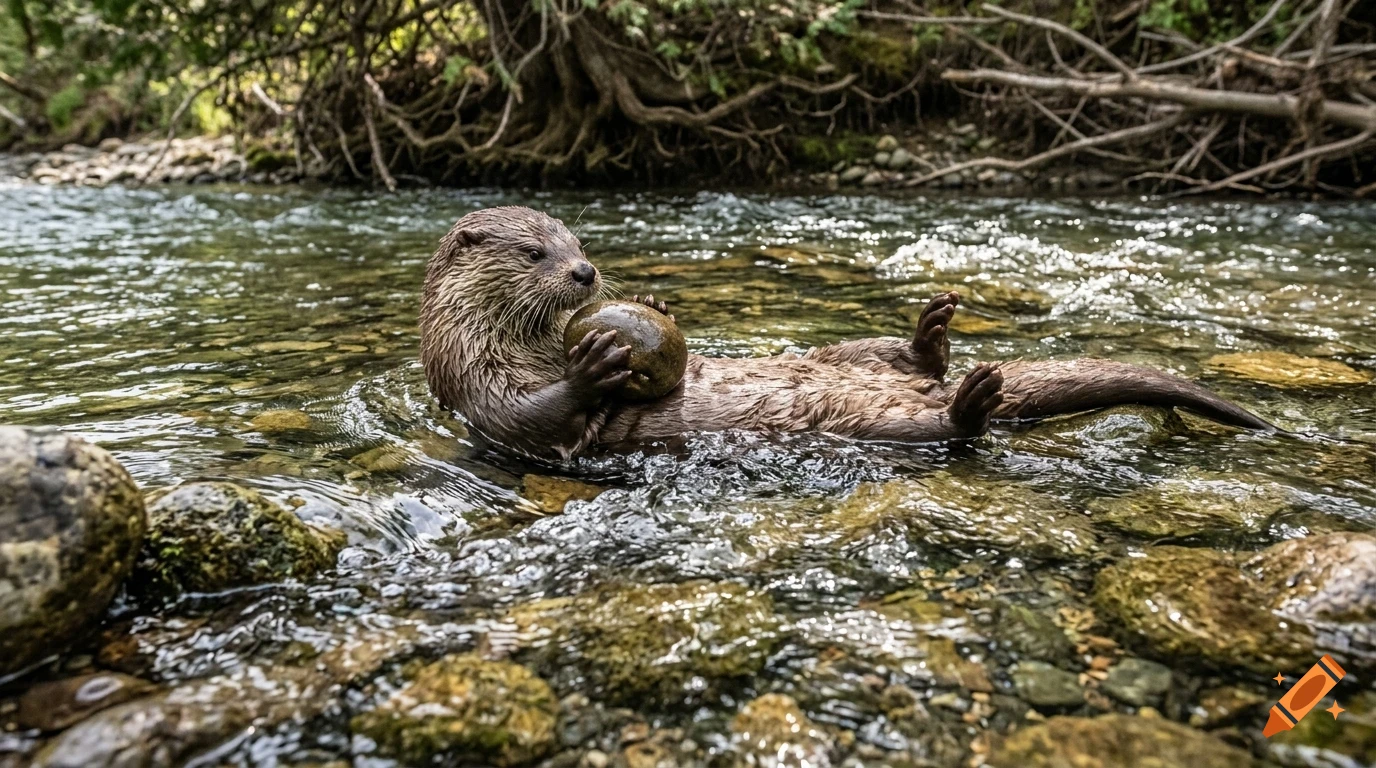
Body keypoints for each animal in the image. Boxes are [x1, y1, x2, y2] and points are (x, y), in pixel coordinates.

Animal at [420, 206, 1275, 460]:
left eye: (579, 241)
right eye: (536, 253)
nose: (587, 274)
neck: (520, 347)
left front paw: (653, 297)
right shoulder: (475, 388)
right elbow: (535, 420)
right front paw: (594, 363)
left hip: (848, 357)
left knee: (895, 354)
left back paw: (933, 331)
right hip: (883, 422)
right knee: (951, 428)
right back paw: (972, 399)